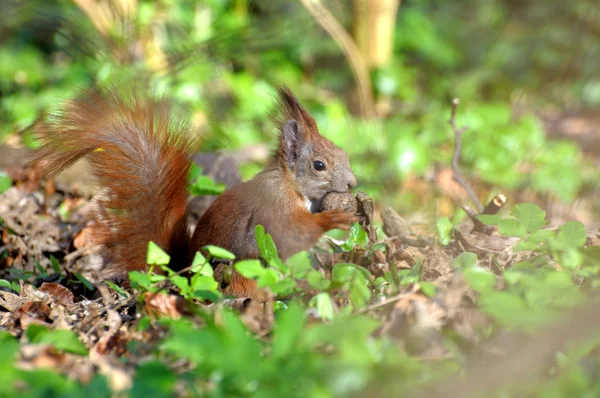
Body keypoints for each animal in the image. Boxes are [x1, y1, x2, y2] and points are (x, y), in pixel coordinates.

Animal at [35, 84, 358, 296]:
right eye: (319, 165)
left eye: (344, 152)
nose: (353, 183)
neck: (290, 183)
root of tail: (185, 271)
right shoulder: (274, 206)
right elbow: (292, 232)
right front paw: (334, 219)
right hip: (236, 273)